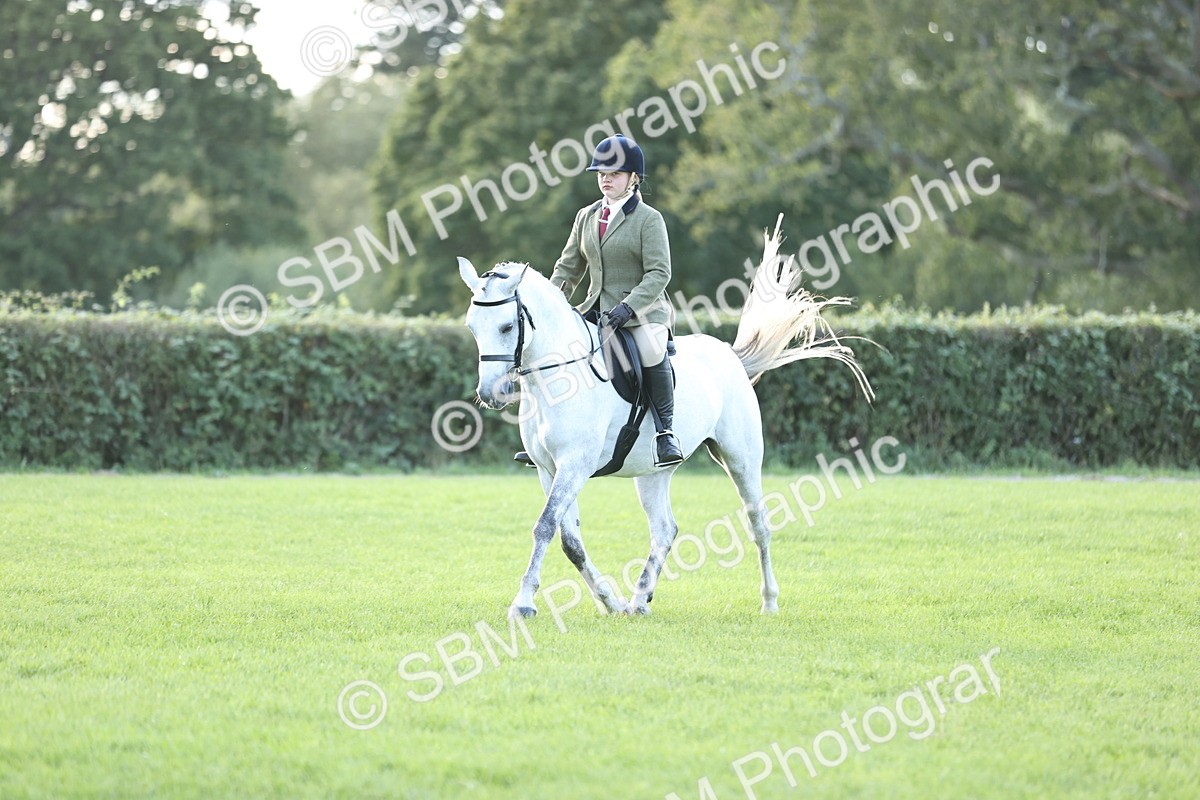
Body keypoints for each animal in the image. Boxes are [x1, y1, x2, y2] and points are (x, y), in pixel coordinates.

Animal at [458, 217, 873, 618]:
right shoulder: (549, 468)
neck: (558, 377)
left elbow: (544, 527)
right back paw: (639, 599)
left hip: (740, 458)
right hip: (653, 472)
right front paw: (609, 600)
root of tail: (728, 354)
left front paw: (524, 602)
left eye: (507, 327)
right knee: (665, 529)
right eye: (472, 327)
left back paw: (769, 602)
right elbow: (569, 540)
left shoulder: (575, 464)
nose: (491, 393)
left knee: (759, 524)